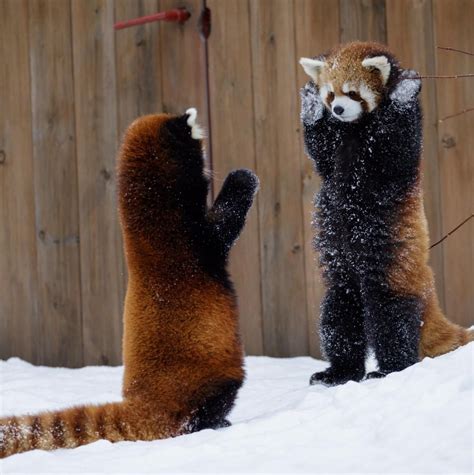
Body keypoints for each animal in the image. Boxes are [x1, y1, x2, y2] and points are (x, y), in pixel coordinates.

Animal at [0, 108, 260, 458]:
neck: (151, 220)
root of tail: (143, 405)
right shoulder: (193, 244)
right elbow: (225, 223)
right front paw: (243, 178)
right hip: (207, 377)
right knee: (209, 405)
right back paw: (217, 422)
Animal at [300, 39, 474, 384]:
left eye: (353, 93)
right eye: (331, 95)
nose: (337, 110)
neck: (354, 129)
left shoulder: (398, 155)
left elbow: (397, 146)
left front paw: (404, 92)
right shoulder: (332, 155)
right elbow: (320, 152)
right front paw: (311, 107)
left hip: (394, 268)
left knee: (392, 320)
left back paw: (389, 369)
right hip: (342, 276)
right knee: (340, 317)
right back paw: (339, 371)